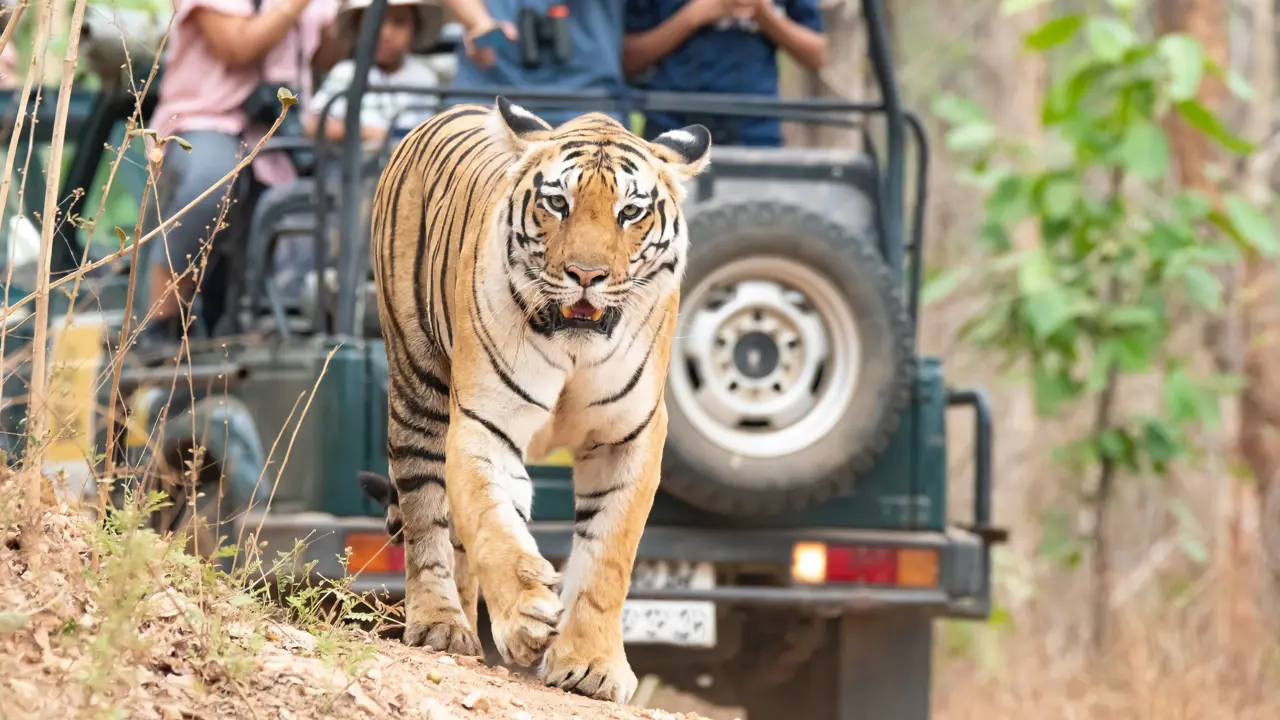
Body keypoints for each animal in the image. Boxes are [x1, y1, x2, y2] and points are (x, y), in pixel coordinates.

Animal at [368, 95, 710, 703]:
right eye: (558, 203)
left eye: (630, 212)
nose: (586, 275)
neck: (574, 347)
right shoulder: (483, 422)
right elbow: (492, 524)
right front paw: (527, 618)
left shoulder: (629, 437)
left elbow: (607, 556)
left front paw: (592, 663)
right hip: (417, 385)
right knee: (427, 513)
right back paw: (441, 624)